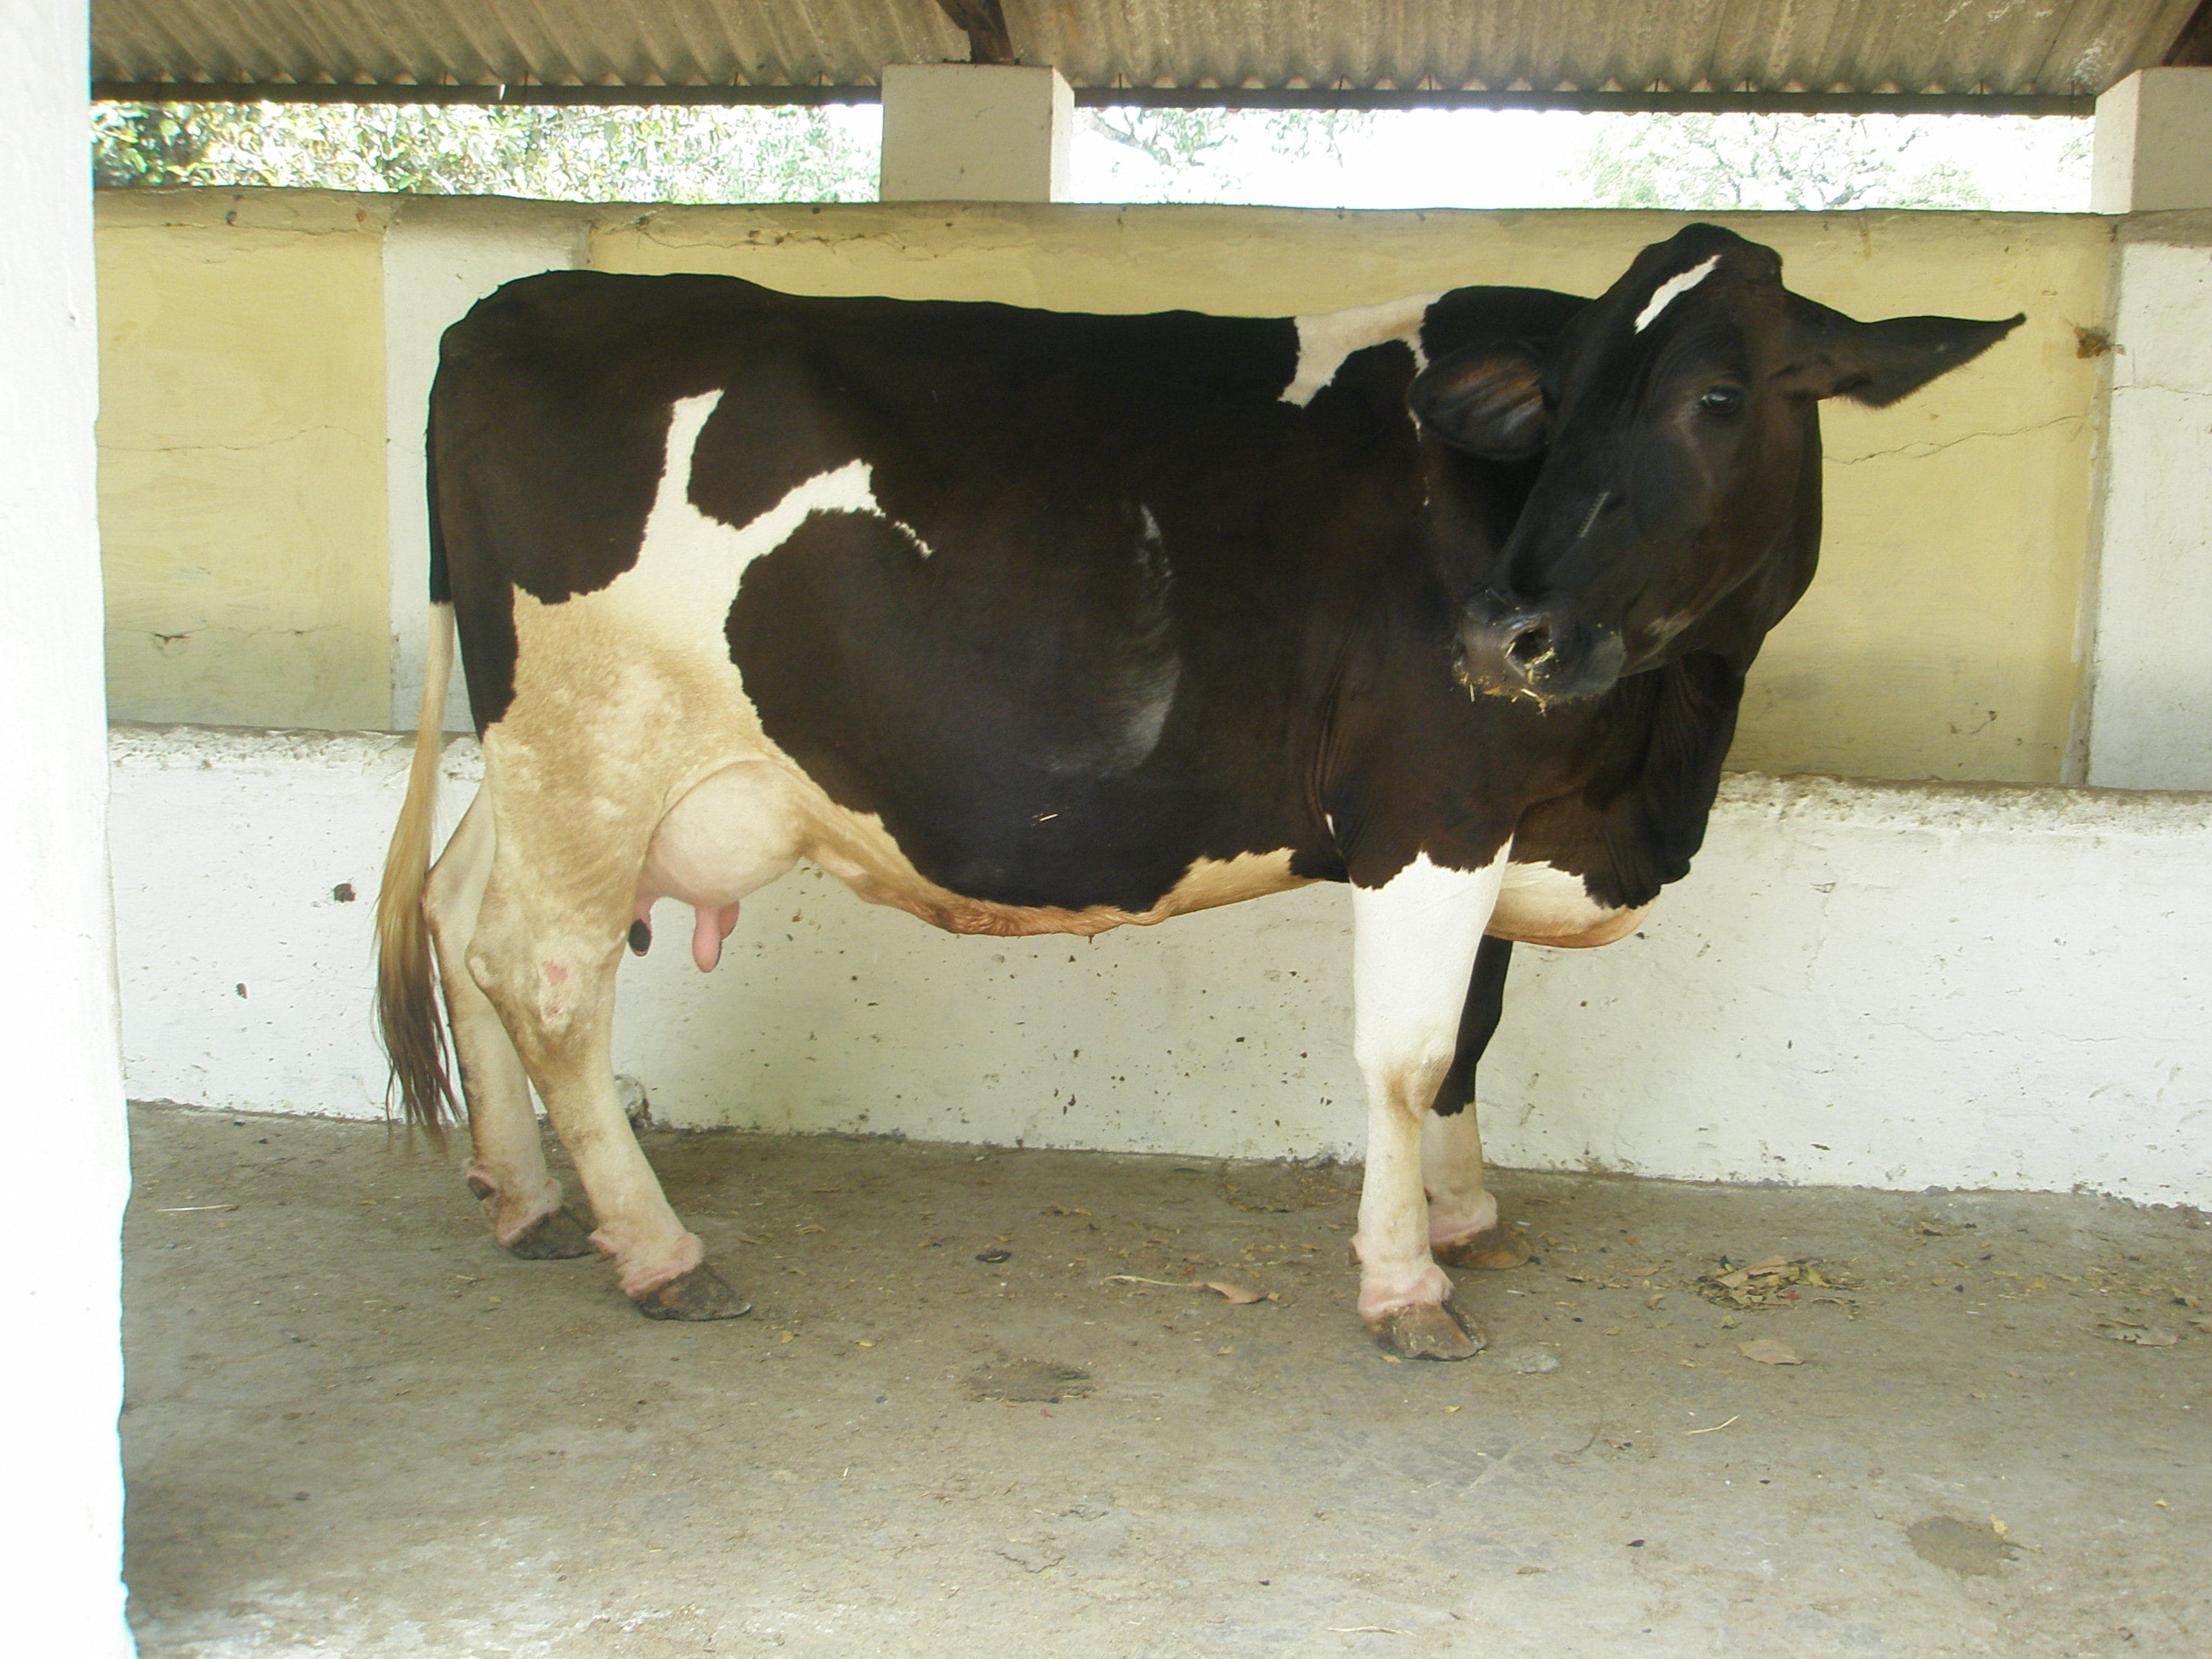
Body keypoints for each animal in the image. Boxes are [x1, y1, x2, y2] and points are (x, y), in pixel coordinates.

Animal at [377, 223, 2017, 1359]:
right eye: (1561, 401)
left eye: (1719, 395)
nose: (1507, 633)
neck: (1660, 753)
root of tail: (516, 304)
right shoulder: (1432, 802)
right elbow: (1412, 1052)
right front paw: (1403, 1278)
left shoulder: (1499, 822)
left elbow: (1477, 1034)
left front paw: (1467, 1213)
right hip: (594, 741)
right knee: (552, 973)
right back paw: (656, 1249)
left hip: (543, 763)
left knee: (458, 913)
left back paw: (524, 1198)